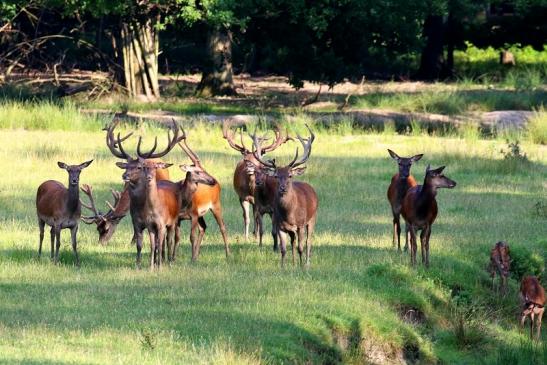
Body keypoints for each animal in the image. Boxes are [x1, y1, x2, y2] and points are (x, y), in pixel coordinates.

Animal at [252, 123, 316, 266]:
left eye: (290, 175)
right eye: (276, 176)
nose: (282, 188)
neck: (290, 214)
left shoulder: (300, 225)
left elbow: (300, 247)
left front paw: (302, 266)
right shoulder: (281, 226)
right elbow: (283, 249)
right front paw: (283, 267)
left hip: (312, 219)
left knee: (308, 241)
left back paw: (307, 262)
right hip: (292, 229)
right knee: (292, 242)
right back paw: (293, 262)